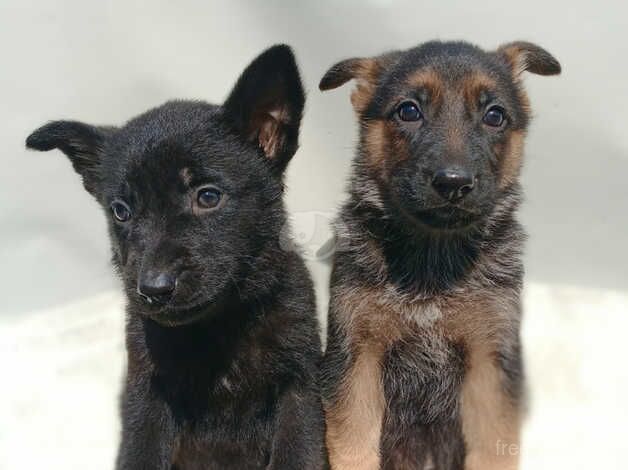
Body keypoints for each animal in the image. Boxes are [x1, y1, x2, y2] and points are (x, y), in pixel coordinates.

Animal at [26, 45, 326, 470]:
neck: (220, 328)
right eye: (121, 211)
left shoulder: (299, 386)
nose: (153, 289)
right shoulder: (147, 394)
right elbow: (140, 453)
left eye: (208, 196)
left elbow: (298, 452)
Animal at [318, 41, 560, 470]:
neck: (433, 259)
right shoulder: (356, 357)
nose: (453, 183)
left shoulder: (490, 362)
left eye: (494, 115)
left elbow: (493, 445)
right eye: (409, 110)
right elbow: (353, 443)